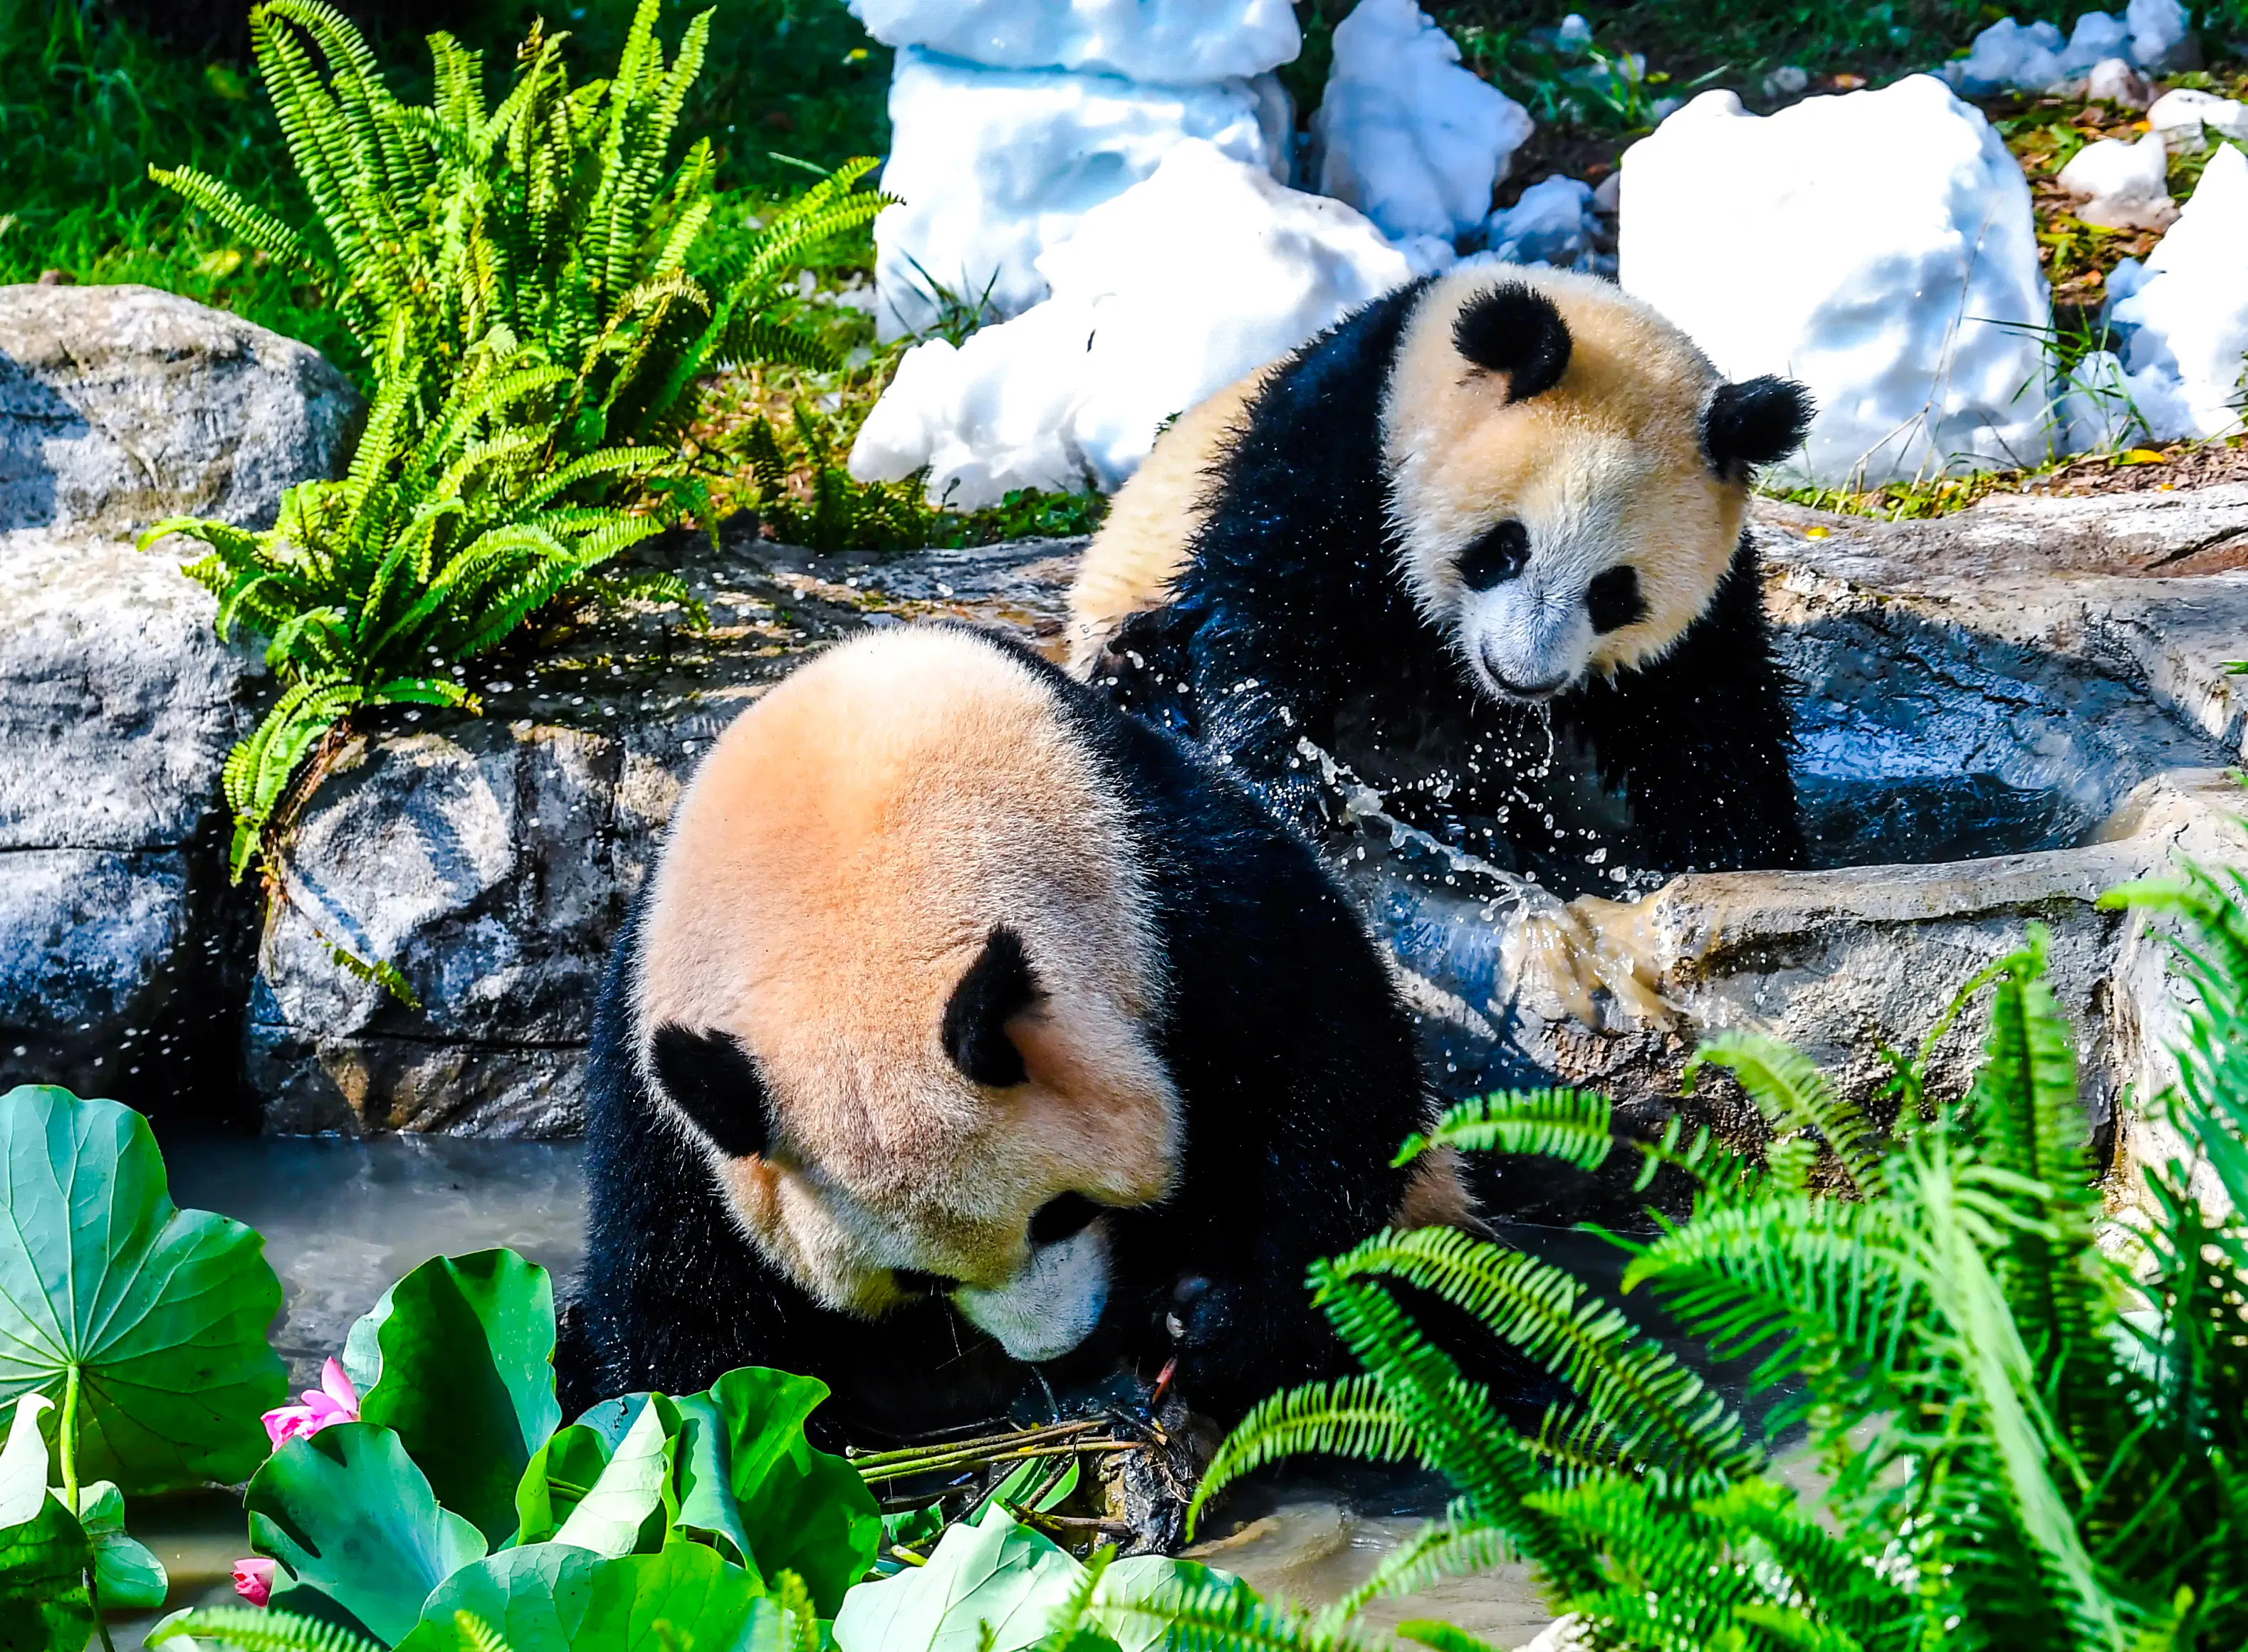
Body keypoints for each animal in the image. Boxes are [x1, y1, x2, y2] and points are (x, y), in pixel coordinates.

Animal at [570, 623, 1472, 1440]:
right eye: (918, 1281)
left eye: (1061, 1212)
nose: (1060, 1348)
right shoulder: (666, 1082)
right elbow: (676, 1308)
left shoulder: (1161, 888)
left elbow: (1323, 1071)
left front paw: (1221, 1329)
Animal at [1068, 264, 1814, 894]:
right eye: (1506, 547)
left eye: (1614, 591)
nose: (1521, 676)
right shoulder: (1336, 453)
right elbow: (1265, 609)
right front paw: (1286, 786)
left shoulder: (1712, 599)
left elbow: (1706, 713)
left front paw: (1740, 856)